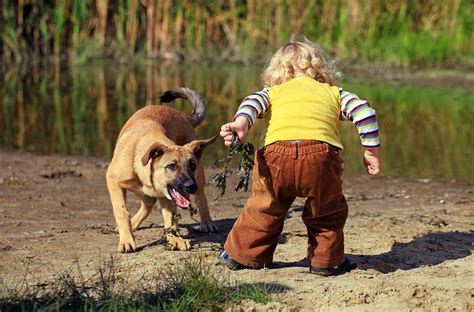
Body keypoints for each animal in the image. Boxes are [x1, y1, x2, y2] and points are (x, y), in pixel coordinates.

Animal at [106, 86, 217, 252]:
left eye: (192, 165)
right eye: (171, 166)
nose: (191, 186)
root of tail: (184, 116)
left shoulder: (167, 196)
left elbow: (170, 218)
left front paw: (175, 239)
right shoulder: (113, 181)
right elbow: (122, 212)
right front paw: (126, 240)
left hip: (197, 179)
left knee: (200, 197)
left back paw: (207, 222)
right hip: (137, 189)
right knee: (148, 203)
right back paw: (132, 225)